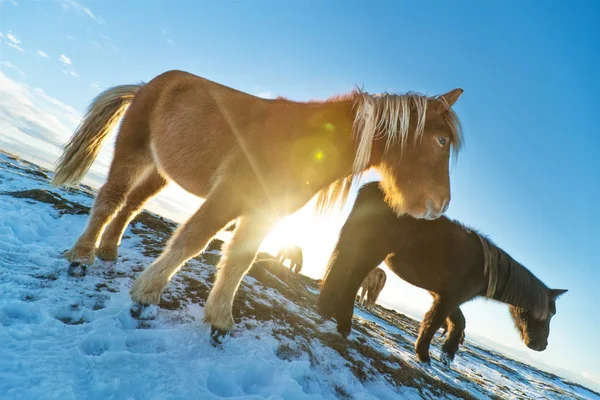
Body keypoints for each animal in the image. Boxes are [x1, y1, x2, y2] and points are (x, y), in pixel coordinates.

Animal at [50, 69, 464, 340]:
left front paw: (219, 319)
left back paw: (109, 251)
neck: (301, 142)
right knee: (111, 199)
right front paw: (146, 295)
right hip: (133, 152)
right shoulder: (230, 195)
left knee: (130, 206)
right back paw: (82, 257)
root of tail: (146, 86)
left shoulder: (266, 212)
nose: (440, 204)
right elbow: (194, 239)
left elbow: (241, 259)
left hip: (158, 169)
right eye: (441, 140)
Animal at [318, 184, 568, 366]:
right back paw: (343, 324)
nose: (541, 345)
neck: (486, 269)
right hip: (370, 251)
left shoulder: (444, 295)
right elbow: (434, 321)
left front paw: (447, 354)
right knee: (350, 280)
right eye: (549, 314)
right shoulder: (449, 297)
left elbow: (457, 322)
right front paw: (424, 355)